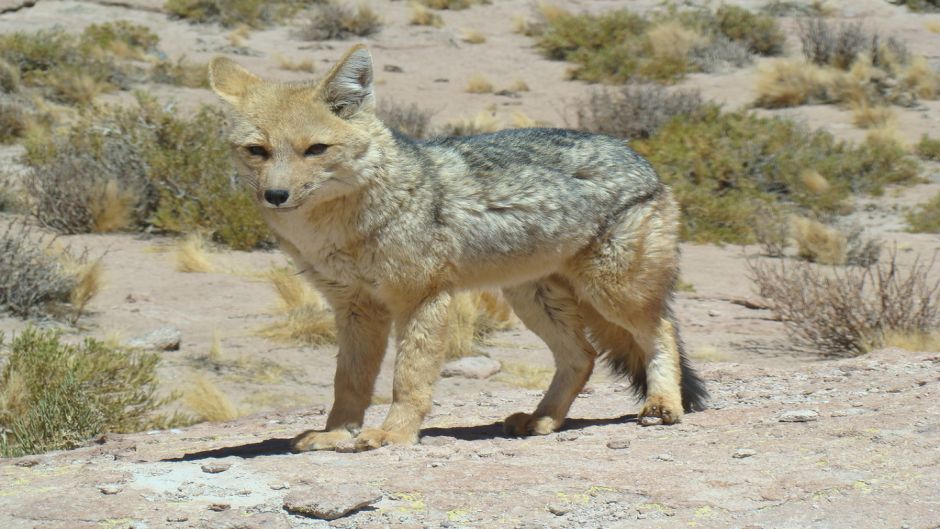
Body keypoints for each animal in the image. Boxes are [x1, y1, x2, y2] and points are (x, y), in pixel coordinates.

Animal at [208, 44, 707, 452]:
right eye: (257, 151)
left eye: (315, 149)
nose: (275, 195)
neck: (336, 230)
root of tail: (640, 157)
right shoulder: (355, 308)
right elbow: (349, 383)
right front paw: (337, 434)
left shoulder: (422, 298)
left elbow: (409, 378)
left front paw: (393, 434)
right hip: (533, 300)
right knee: (582, 357)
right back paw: (544, 419)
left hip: (613, 292)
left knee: (660, 331)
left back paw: (663, 405)